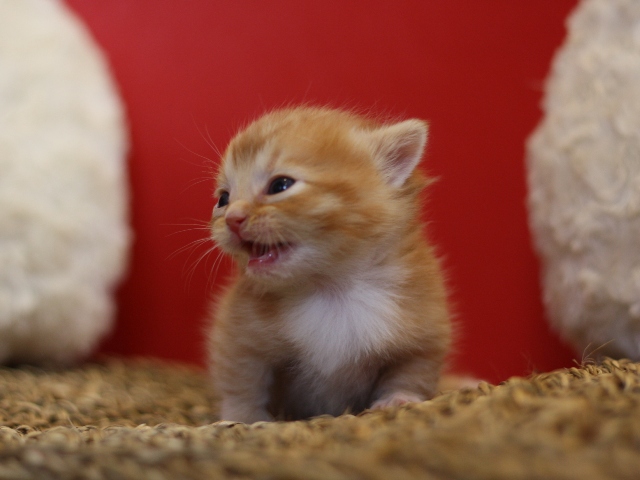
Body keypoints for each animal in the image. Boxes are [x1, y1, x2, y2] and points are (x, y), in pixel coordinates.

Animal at [209, 107, 450, 422]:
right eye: (223, 199)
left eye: (280, 185)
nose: (232, 219)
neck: (331, 286)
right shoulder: (239, 333)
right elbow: (242, 378)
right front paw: (243, 417)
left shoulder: (425, 327)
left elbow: (413, 370)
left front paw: (399, 399)